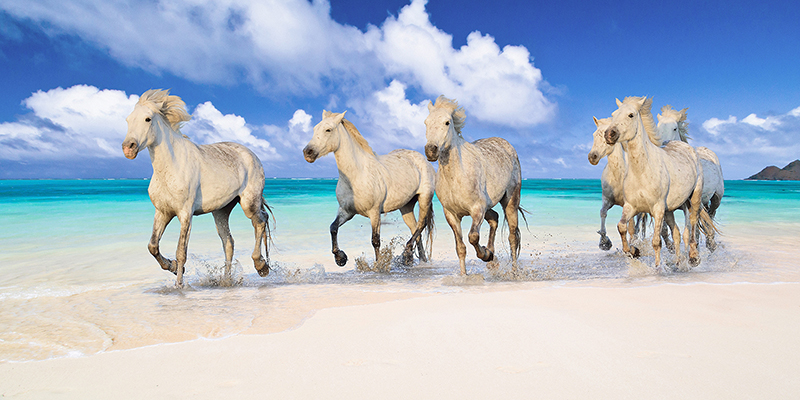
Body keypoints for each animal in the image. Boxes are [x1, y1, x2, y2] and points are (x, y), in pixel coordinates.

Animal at [121, 89, 272, 286]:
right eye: (128, 120)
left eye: (147, 119)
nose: (128, 148)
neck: (171, 167)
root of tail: (252, 154)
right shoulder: (163, 212)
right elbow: (153, 246)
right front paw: (172, 266)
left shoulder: (185, 214)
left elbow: (181, 251)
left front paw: (179, 285)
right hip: (221, 211)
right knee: (228, 242)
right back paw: (227, 280)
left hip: (248, 203)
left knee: (260, 221)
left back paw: (261, 266)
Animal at [304, 111, 434, 268]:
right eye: (314, 129)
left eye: (328, 130)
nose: (308, 152)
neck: (357, 175)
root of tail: (423, 159)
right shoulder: (346, 211)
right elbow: (333, 228)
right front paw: (340, 258)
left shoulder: (374, 212)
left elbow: (375, 240)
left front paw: (379, 266)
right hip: (406, 206)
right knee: (415, 229)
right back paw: (419, 260)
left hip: (424, 197)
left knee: (421, 224)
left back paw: (406, 254)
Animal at [424, 95, 524, 276]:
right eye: (426, 122)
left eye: (447, 122)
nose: (431, 150)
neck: (456, 176)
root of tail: (506, 143)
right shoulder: (452, 214)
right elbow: (460, 248)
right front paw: (465, 275)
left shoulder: (477, 209)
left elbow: (473, 237)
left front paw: (485, 255)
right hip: (488, 206)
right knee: (495, 218)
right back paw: (493, 259)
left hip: (510, 201)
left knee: (512, 236)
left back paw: (513, 271)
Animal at [656, 106, 724, 250]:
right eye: (658, 128)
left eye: (675, 128)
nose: (663, 146)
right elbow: (664, 229)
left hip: (717, 198)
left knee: (710, 216)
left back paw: (710, 244)